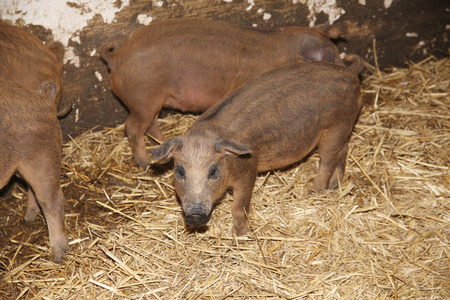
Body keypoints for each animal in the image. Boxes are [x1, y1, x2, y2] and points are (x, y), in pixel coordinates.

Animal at [100, 17, 342, 168]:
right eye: (328, 60)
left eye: (338, 53)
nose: (346, 73)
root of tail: (117, 56)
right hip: (144, 100)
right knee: (132, 127)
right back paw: (143, 163)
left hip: (153, 101)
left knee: (150, 125)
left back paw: (165, 142)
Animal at [152, 55, 366, 236]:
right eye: (180, 171)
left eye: (213, 171)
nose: (196, 214)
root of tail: (349, 72)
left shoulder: (248, 171)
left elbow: (239, 208)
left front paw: (239, 237)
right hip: (344, 127)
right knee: (342, 152)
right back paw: (335, 186)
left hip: (336, 126)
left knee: (328, 160)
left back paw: (314, 192)